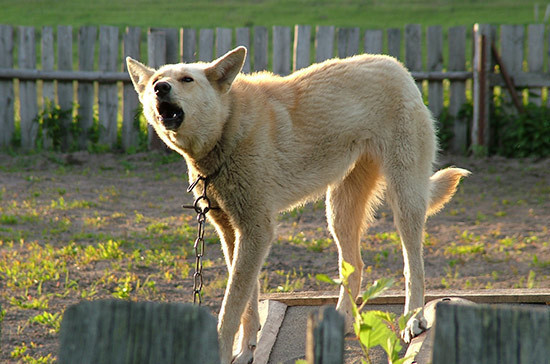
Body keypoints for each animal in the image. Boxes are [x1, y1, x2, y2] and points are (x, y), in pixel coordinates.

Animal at [128, 47, 470, 364]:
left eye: (187, 80)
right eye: (158, 81)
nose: (160, 89)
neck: (228, 129)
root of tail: (396, 67)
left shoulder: (257, 230)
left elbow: (230, 308)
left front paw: (224, 352)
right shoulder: (233, 232)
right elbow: (248, 302)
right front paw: (247, 349)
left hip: (405, 201)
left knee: (413, 265)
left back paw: (414, 319)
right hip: (339, 212)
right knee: (355, 266)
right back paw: (341, 322)